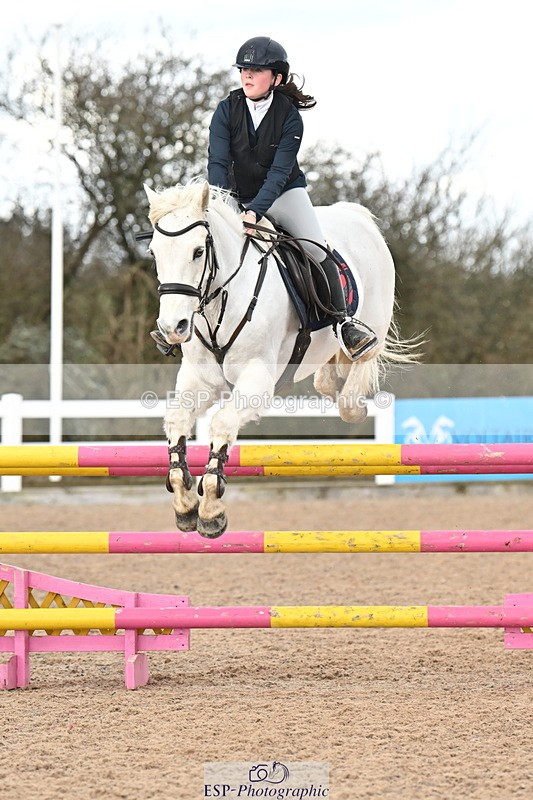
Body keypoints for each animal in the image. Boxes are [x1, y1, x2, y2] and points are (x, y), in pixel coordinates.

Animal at [143, 180, 414, 538]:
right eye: (154, 253)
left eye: (198, 251)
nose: (172, 328)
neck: (222, 301)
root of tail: (356, 215)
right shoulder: (200, 381)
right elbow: (176, 421)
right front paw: (185, 505)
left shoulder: (257, 379)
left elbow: (223, 423)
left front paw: (211, 510)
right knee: (328, 374)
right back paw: (332, 384)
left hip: (376, 321)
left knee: (361, 360)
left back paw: (354, 404)